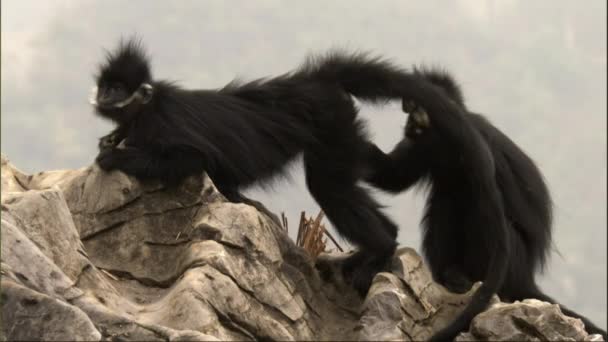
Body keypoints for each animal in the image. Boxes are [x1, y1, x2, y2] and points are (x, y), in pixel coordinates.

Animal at [364, 69, 604, 340]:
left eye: (414, 108)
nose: (408, 125)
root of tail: (526, 279)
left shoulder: (470, 139)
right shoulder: (426, 146)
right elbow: (391, 176)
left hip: (512, 261)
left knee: (477, 209)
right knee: (446, 204)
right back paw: (451, 274)